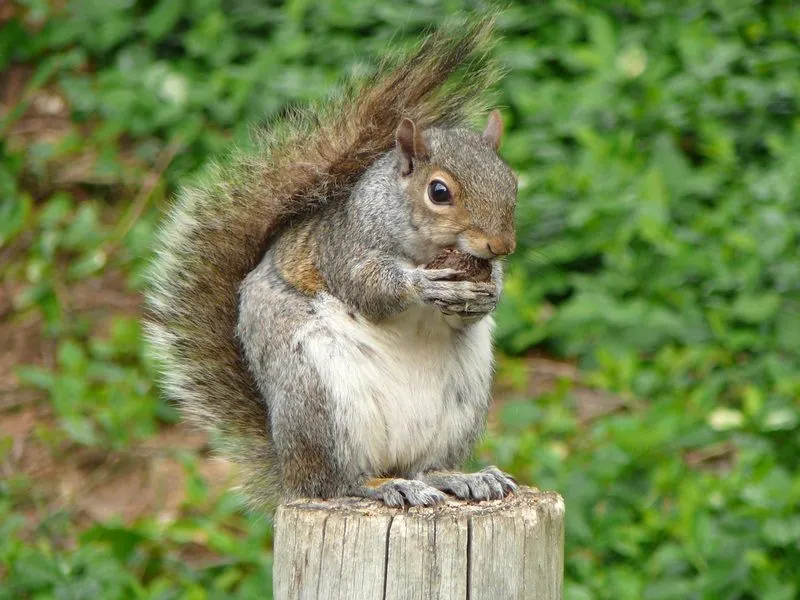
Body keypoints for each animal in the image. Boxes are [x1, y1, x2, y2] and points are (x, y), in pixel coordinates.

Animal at [144, 16, 520, 508]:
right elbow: (367, 288)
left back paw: (460, 478)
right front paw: (423, 285)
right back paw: (384, 485)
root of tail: (291, 472)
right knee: (339, 482)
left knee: (424, 465)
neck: (422, 247)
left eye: (512, 181)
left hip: (461, 403)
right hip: (319, 396)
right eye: (439, 192)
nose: (501, 245)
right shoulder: (343, 247)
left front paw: (489, 294)